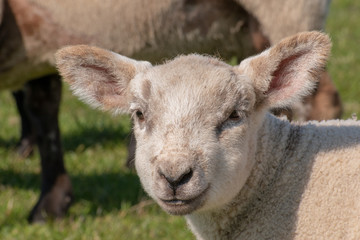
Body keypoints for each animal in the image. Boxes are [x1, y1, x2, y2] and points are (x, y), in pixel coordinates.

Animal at [2, 0, 340, 223]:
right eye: (139, 114)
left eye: (234, 115)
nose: (174, 176)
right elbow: (42, 112)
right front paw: (51, 203)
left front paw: (48, 204)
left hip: (286, 11)